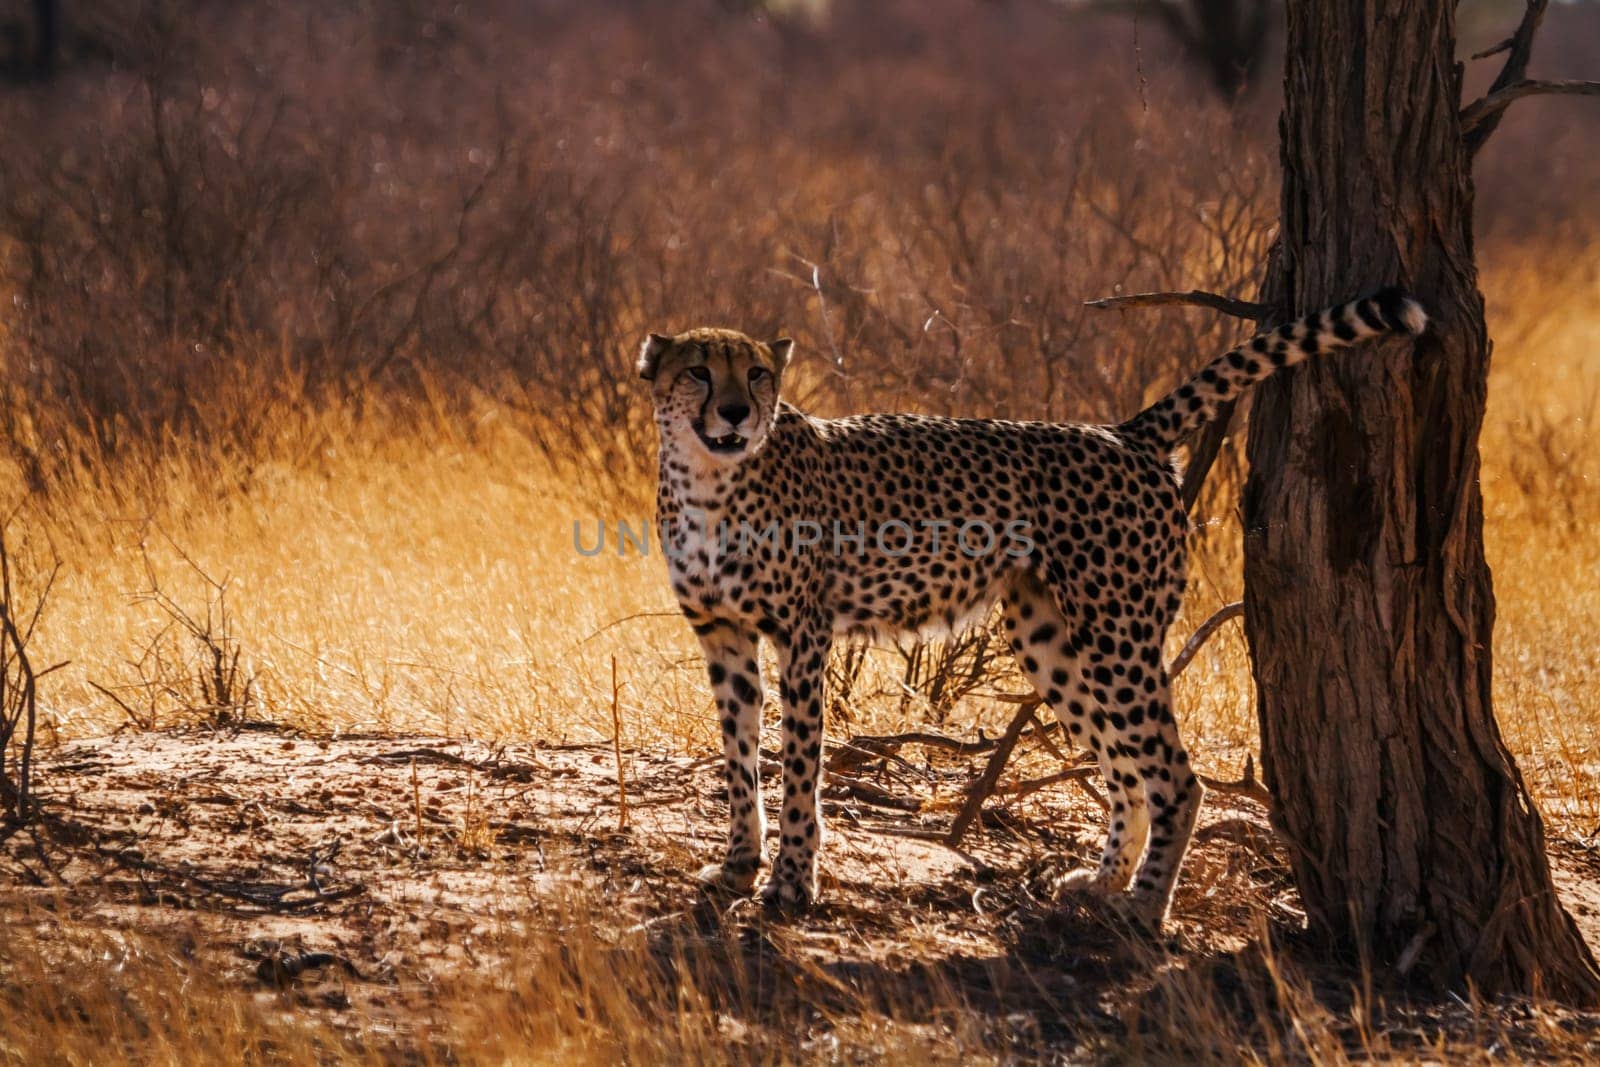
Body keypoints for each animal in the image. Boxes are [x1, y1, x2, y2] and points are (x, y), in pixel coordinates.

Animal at [636, 289, 1427, 927]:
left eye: (757, 373)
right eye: (698, 371)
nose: (737, 411)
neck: (711, 479)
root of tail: (1121, 431)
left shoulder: (802, 637)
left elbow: (800, 764)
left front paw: (792, 882)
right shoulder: (722, 635)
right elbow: (740, 758)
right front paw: (739, 864)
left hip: (1116, 634)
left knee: (1176, 775)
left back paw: (1146, 906)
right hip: (1054, 640)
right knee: (1126, 770)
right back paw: (1105, 883)